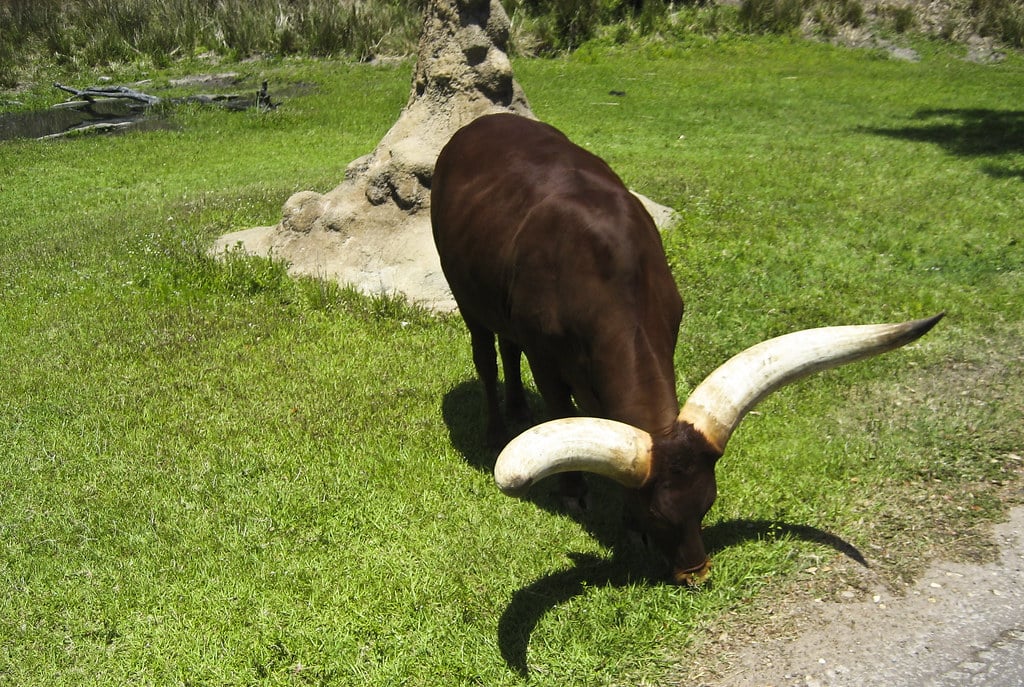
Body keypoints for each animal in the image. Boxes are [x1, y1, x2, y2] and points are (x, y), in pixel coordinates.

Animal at [430, 113, 941, 584]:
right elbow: (558, 406)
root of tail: (482, 123)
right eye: (657, 514)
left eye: (707, 502)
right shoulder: (546, 355)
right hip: (465, 296)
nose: (696, 571)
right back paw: (498, 427)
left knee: (507, 346)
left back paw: (519, 407)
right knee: (486, 355)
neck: (606, 274)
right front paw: (574, 491)